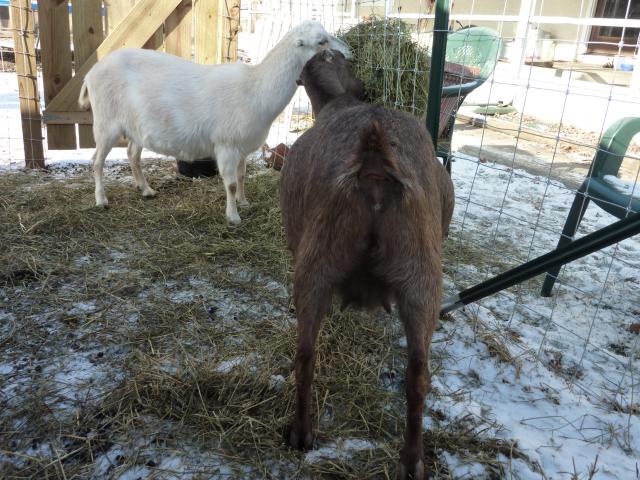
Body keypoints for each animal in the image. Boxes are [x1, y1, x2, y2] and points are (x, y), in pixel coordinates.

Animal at [79, 21, 350, 223]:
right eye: (322, 42)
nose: (348, 54)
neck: (256, 87)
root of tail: (91, 73)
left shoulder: (242, 147)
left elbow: (242, 177)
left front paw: (244, 202)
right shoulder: (226, 145)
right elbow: (230, 184)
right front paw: (233, 217)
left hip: (136, 127)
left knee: (132, 154)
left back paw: (146, 190)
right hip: (105, 123)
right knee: (96, 161)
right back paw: (101, 200)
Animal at [280, 50, 454, 480]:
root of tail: (374, 164)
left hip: (318, 262)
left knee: (305, 355)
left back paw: (301, 433)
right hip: (420, 275)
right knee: (418, 374)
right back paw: (411, 461)